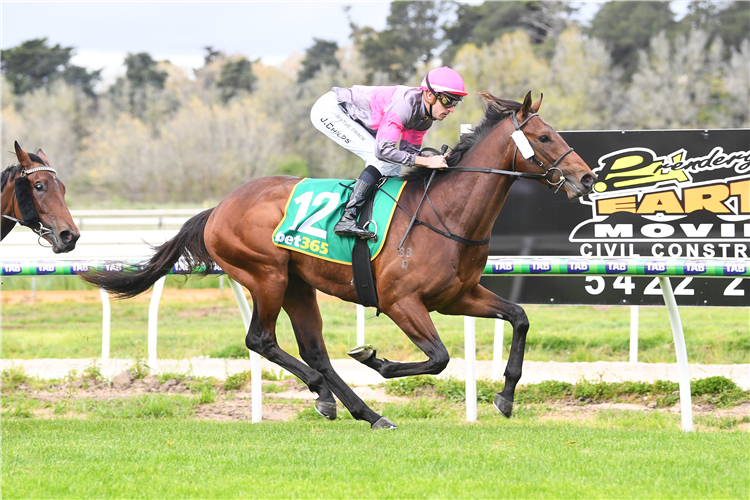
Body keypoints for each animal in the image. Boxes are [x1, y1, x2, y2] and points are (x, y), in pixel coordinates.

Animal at [83, 92, 600, 428]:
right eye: (545, 137)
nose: (588, 178)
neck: (445, 212)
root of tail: (219, 208)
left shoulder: (459, 296)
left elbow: (519, 317)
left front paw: (505, 397)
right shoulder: (400, 302)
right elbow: (437, 358)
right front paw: (376, 359)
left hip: (298, 284)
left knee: (314, 351)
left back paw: (359, 410)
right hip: (266, 276)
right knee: (262, 340)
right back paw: (329, 394)